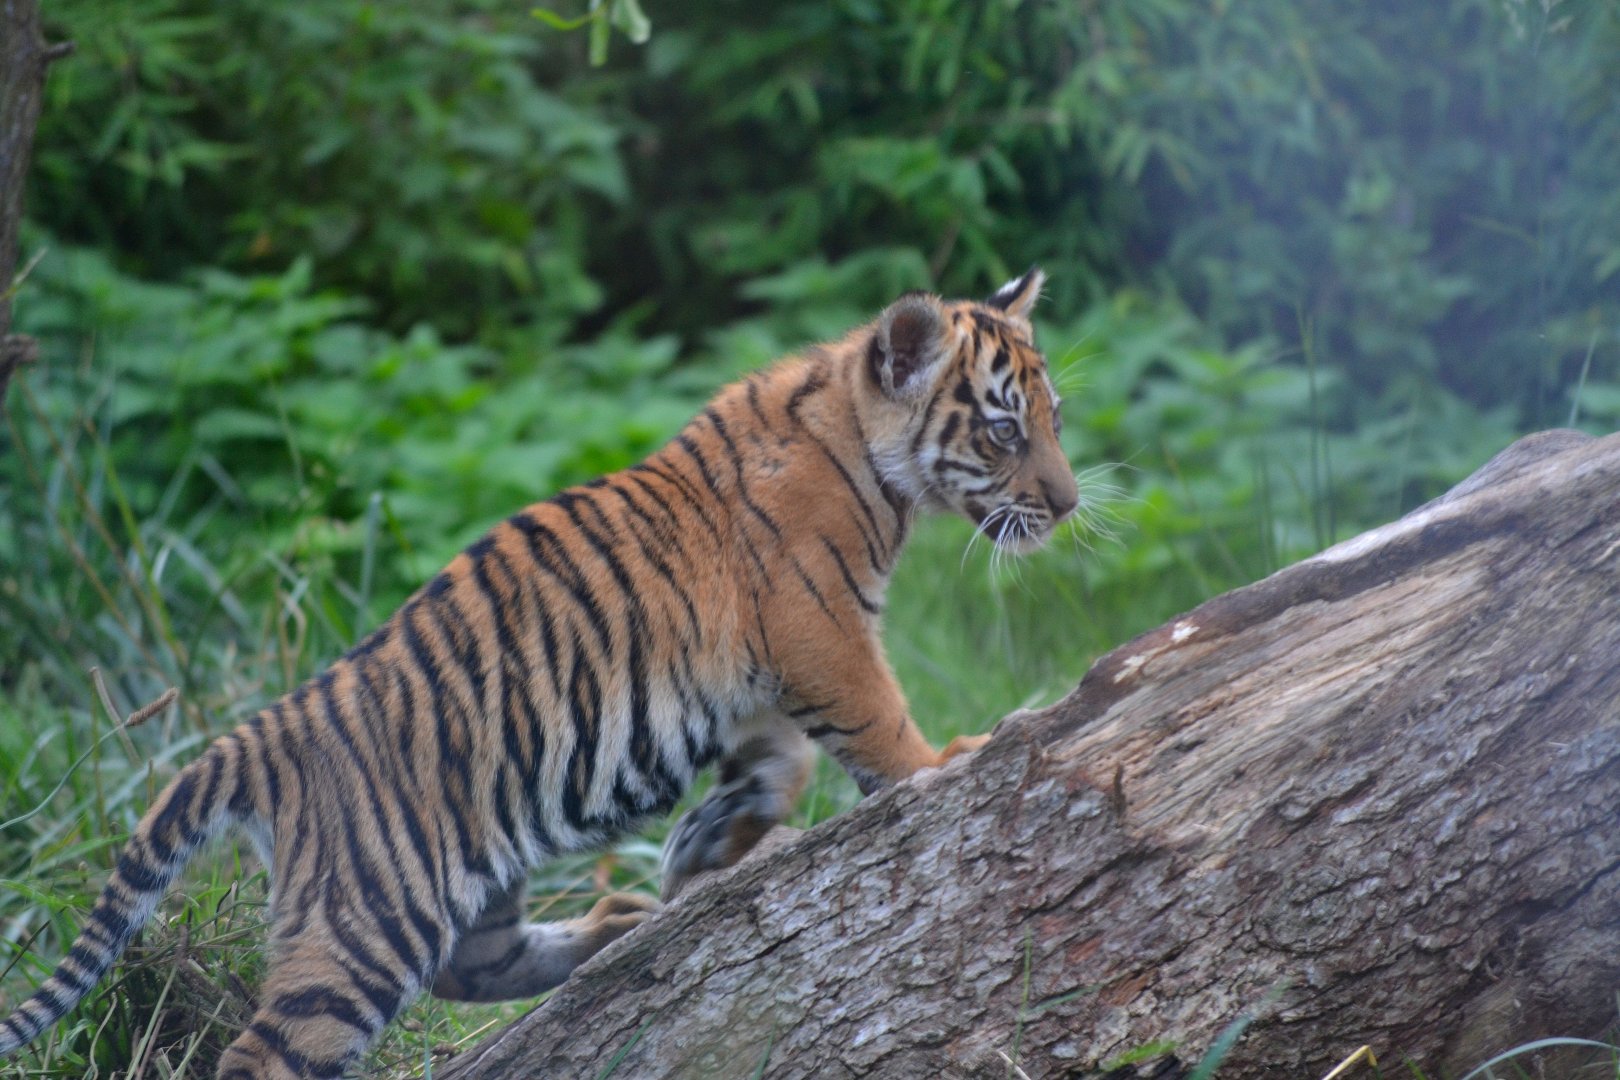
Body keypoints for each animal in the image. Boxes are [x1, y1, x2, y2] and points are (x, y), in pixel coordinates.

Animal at [0, 268, 1078, 1079]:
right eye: (1004, 429)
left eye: (1054, 418)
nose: (1070, 506)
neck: (867, 452)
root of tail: (262, 734)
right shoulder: (816, 628)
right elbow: (876, 720)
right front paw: (945, 760)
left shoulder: (763, 674)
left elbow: (784, 763)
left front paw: (708, 843)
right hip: (362, 923)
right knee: (267, 1052)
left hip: (461, 873)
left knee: (473, 967)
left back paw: (614, 925)